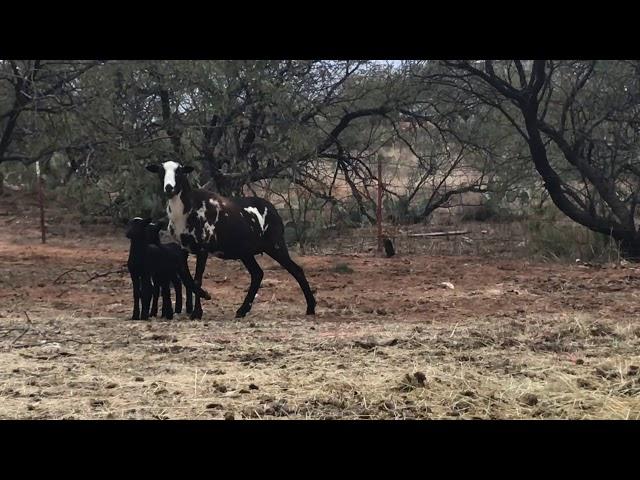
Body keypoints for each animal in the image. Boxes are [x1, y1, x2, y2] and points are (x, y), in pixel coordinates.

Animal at [144, 160, 316, 318]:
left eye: (179, 171)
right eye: (161, 171)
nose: (169, 188)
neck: (187, 209)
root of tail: (273, 209)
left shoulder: (203, 248)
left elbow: (197, 279)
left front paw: (197, 312)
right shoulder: (183, 248)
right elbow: (189, 280)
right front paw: (203, 298)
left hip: (275, 245)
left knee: (296, 270)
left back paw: (310, 307)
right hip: (246, 252)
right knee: (257, 274)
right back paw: (242, 310)